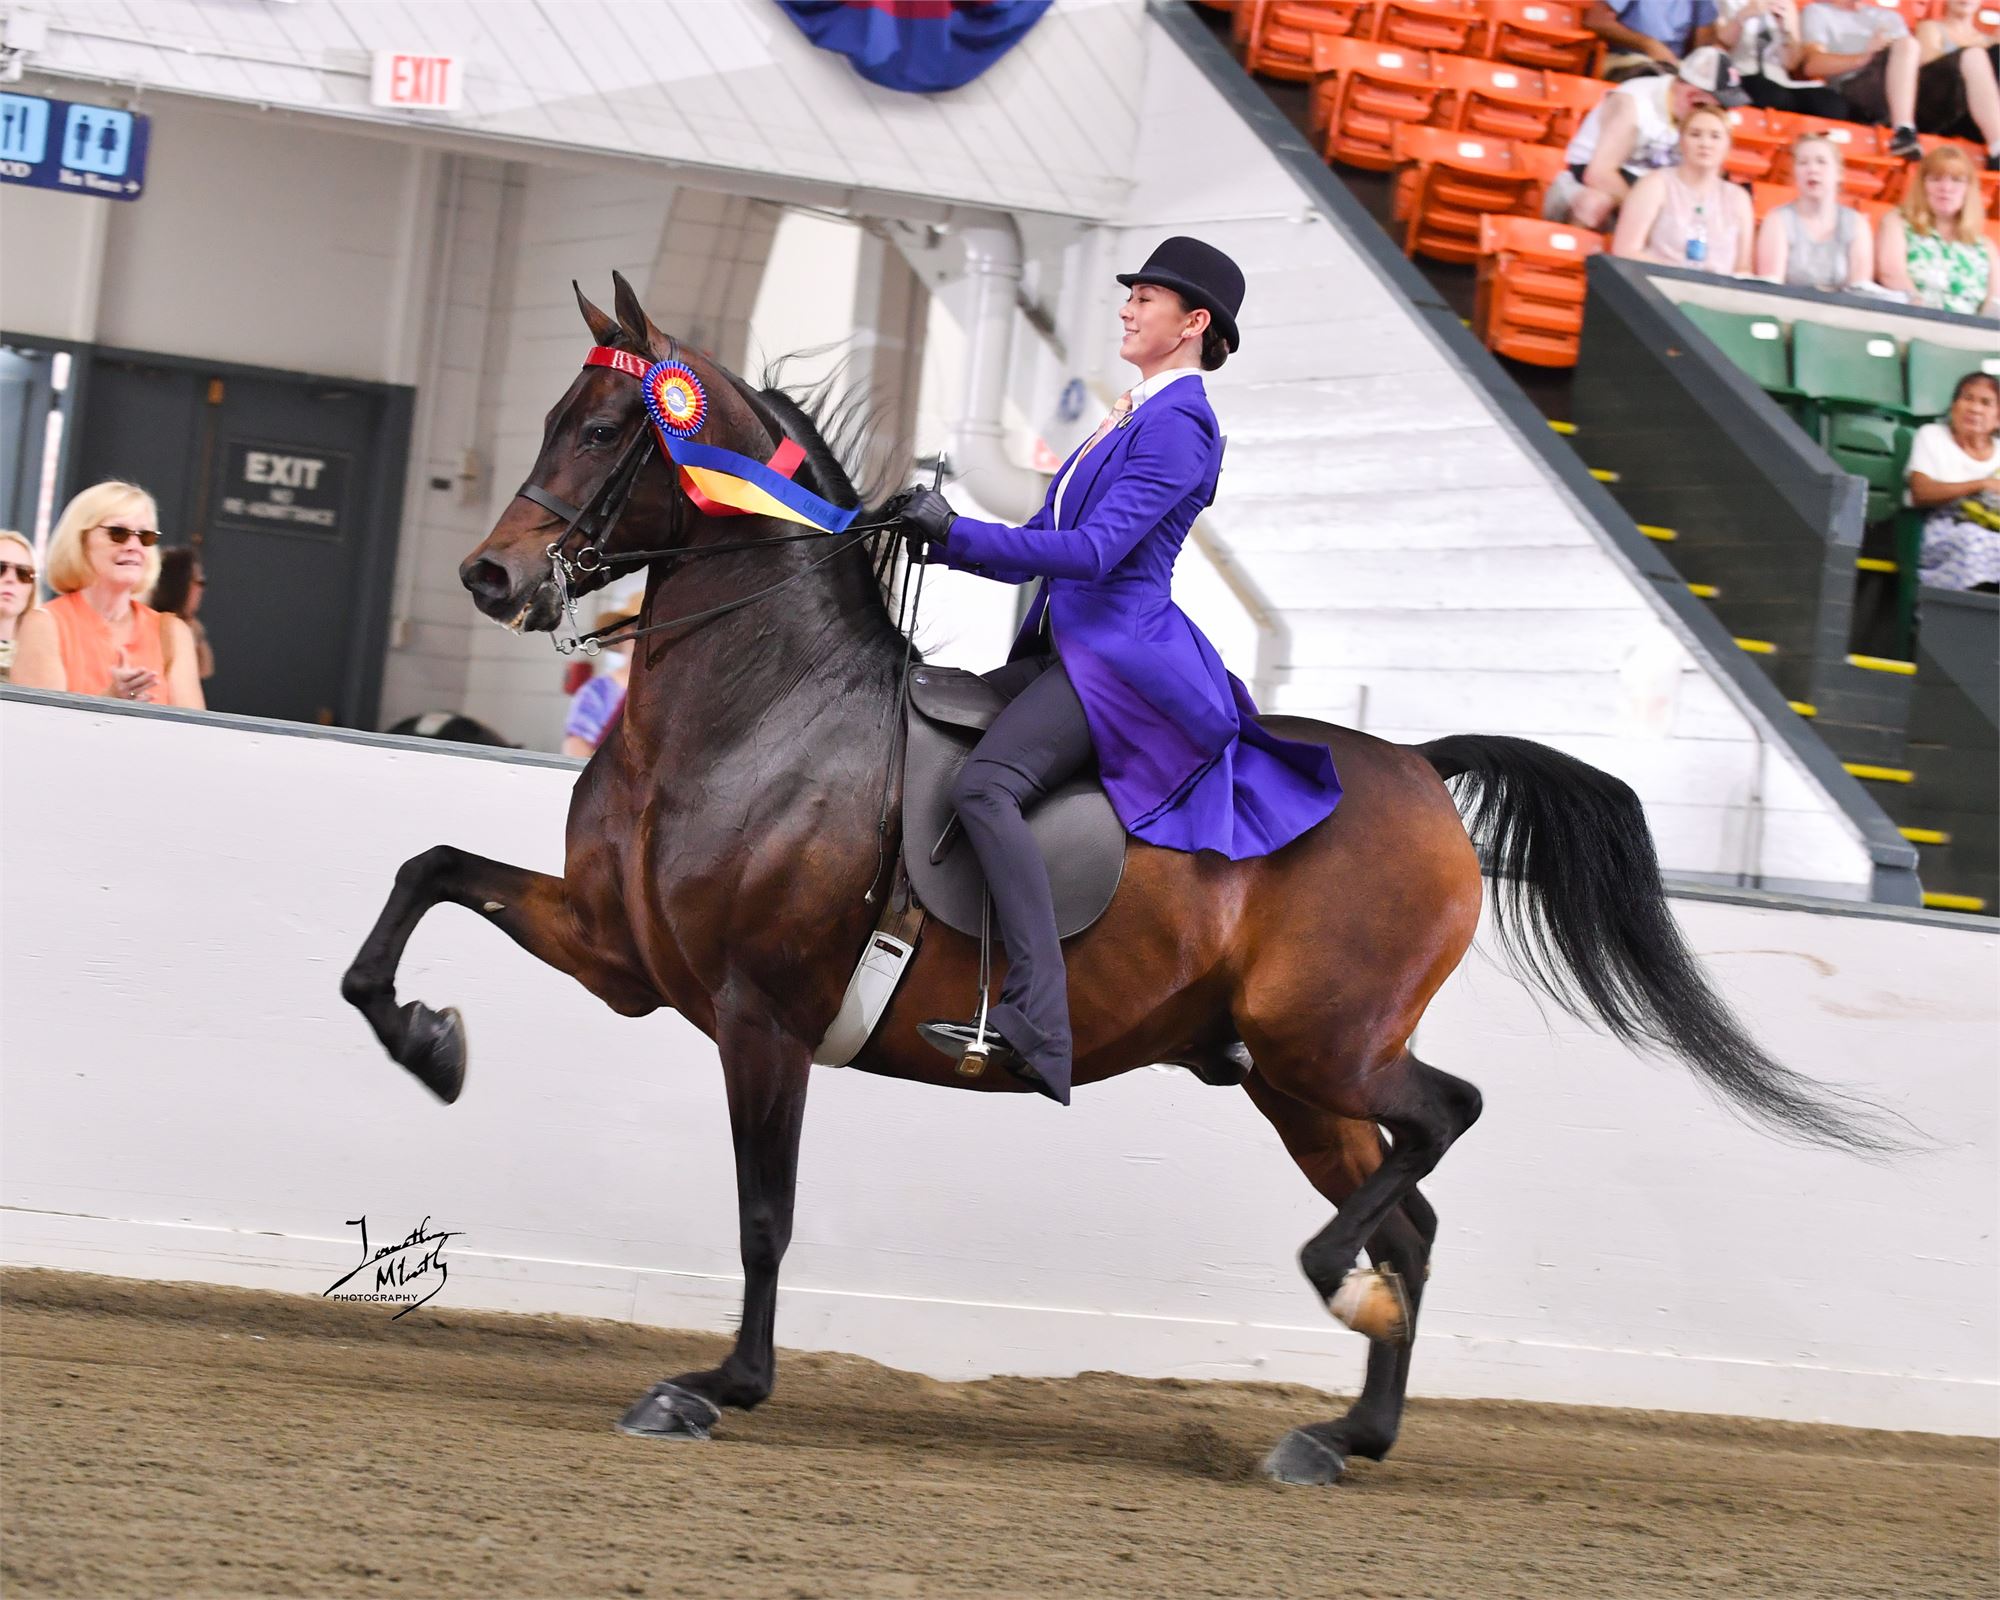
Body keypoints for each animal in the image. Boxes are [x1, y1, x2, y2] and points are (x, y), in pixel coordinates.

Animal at [342, 273, 1888, 1485]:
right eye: (559, 413)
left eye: (610, 428)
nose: (491, 577)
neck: (752, 713)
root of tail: (1417, 767)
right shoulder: (621, 951)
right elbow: (424, 876)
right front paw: (429, 1043)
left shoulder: (758, 1012)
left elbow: (764, 1213)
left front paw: (717, 1387)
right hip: (1292, 1079)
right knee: (1415, 1210)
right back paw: (1343, 1432)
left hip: (1326, 1046)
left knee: (1445, 1123)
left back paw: (1341, 1307)